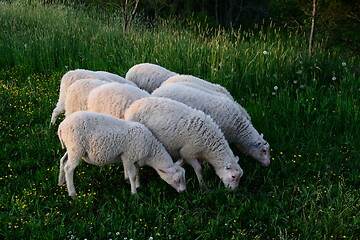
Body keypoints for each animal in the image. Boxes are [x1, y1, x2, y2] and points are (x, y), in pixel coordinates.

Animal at [57, 110, 187, 197]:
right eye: (177, 179)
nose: (184, 191)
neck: (150, 149)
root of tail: (61, 126)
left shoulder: (133, 159)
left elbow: (136, 172)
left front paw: (136, 185)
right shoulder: (128, 156)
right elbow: (133, 175)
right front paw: (134, 193)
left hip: (71, 148)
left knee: (63, 161)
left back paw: (60, 182)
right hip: (76, 148)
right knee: (69, 168)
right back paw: (72, 193)